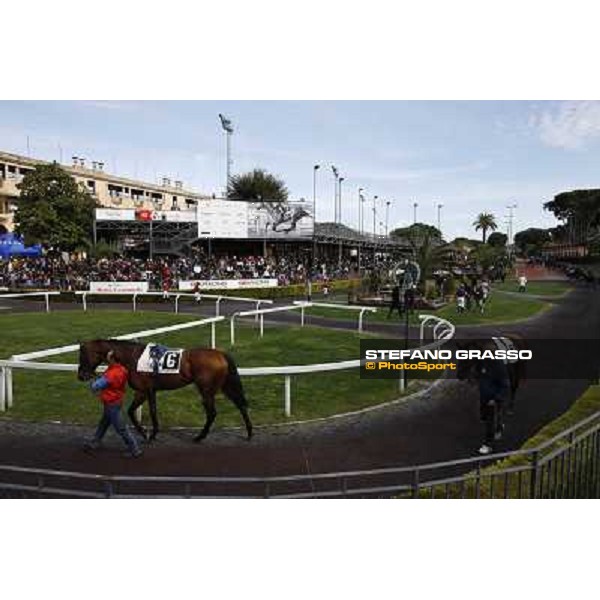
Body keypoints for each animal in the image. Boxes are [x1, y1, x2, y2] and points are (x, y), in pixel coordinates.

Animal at [76, 340, 252, 442]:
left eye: (82, 355)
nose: (81, 375)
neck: (133, 357)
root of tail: (220, 353)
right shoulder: (143, 391)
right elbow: (132, 411)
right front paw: (145, 433)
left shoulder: (147, 390)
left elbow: (151, 411)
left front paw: (151, 434)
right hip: (224, 386)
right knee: (240, 405)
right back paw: (249, 433)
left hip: (206, 390)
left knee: (212, 413)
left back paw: (200, 437)